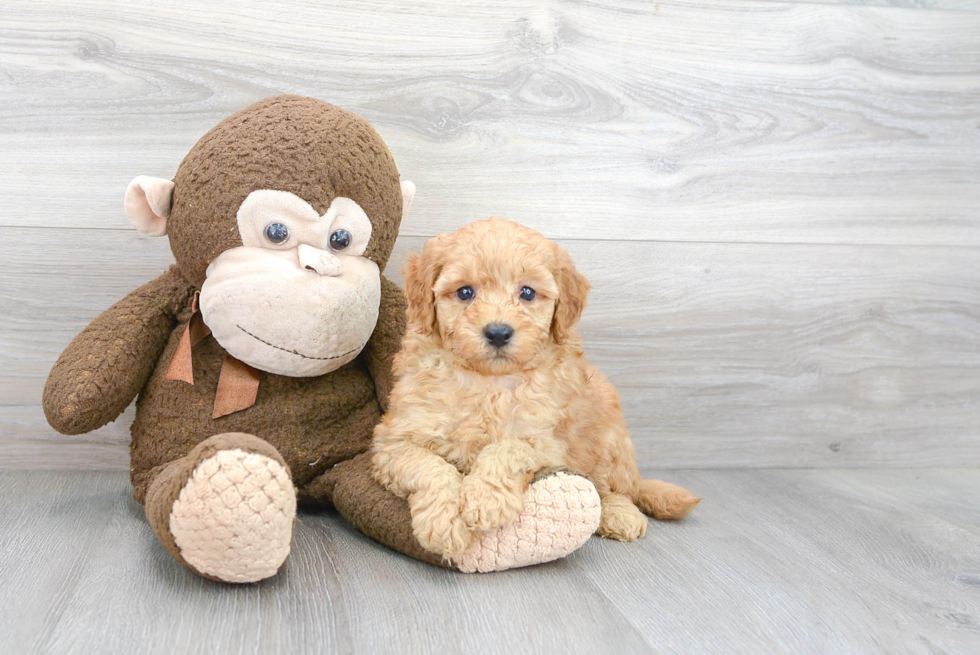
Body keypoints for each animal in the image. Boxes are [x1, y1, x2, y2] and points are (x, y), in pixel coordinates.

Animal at [372, 219, 700, 560]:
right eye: (465, 292)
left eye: (527, 292)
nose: (498, 332)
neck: (488, 382)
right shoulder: (393, 442)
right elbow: (429, 467)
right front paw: (444, 521)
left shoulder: (548, 441)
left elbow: (507, 448)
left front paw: (485, 498)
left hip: (610, 435)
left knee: (615, 489)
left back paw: (619, 514)